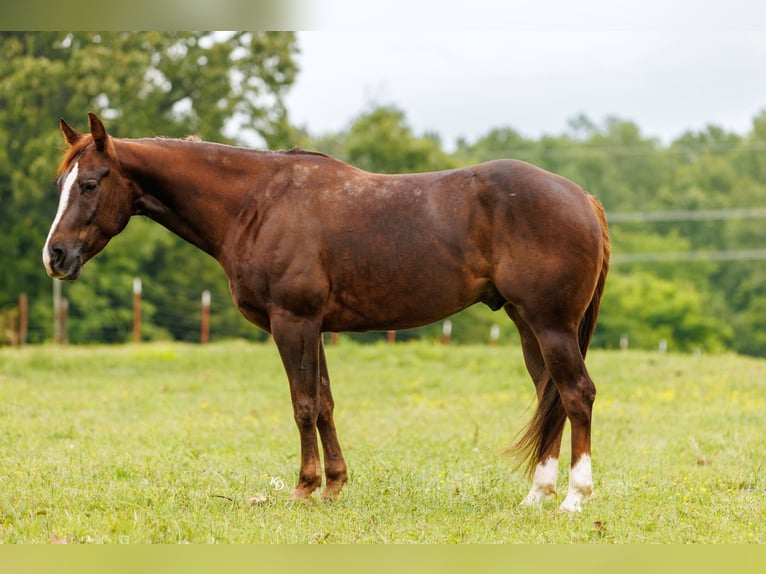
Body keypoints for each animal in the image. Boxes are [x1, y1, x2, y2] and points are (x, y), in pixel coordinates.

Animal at [43, 113, 609, 512]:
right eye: (60, 185)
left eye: (90, 183)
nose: (56, 256)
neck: (258, 203)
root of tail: (583, 197)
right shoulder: (314, 328)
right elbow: (326, 402)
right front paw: (335, 485)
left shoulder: (292, 322)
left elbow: (303, 405)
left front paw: (305, 487)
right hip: (526, 323)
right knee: (550, 395)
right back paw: (536, 495)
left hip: (551, 325)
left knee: (576, 394)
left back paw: (575, 497)